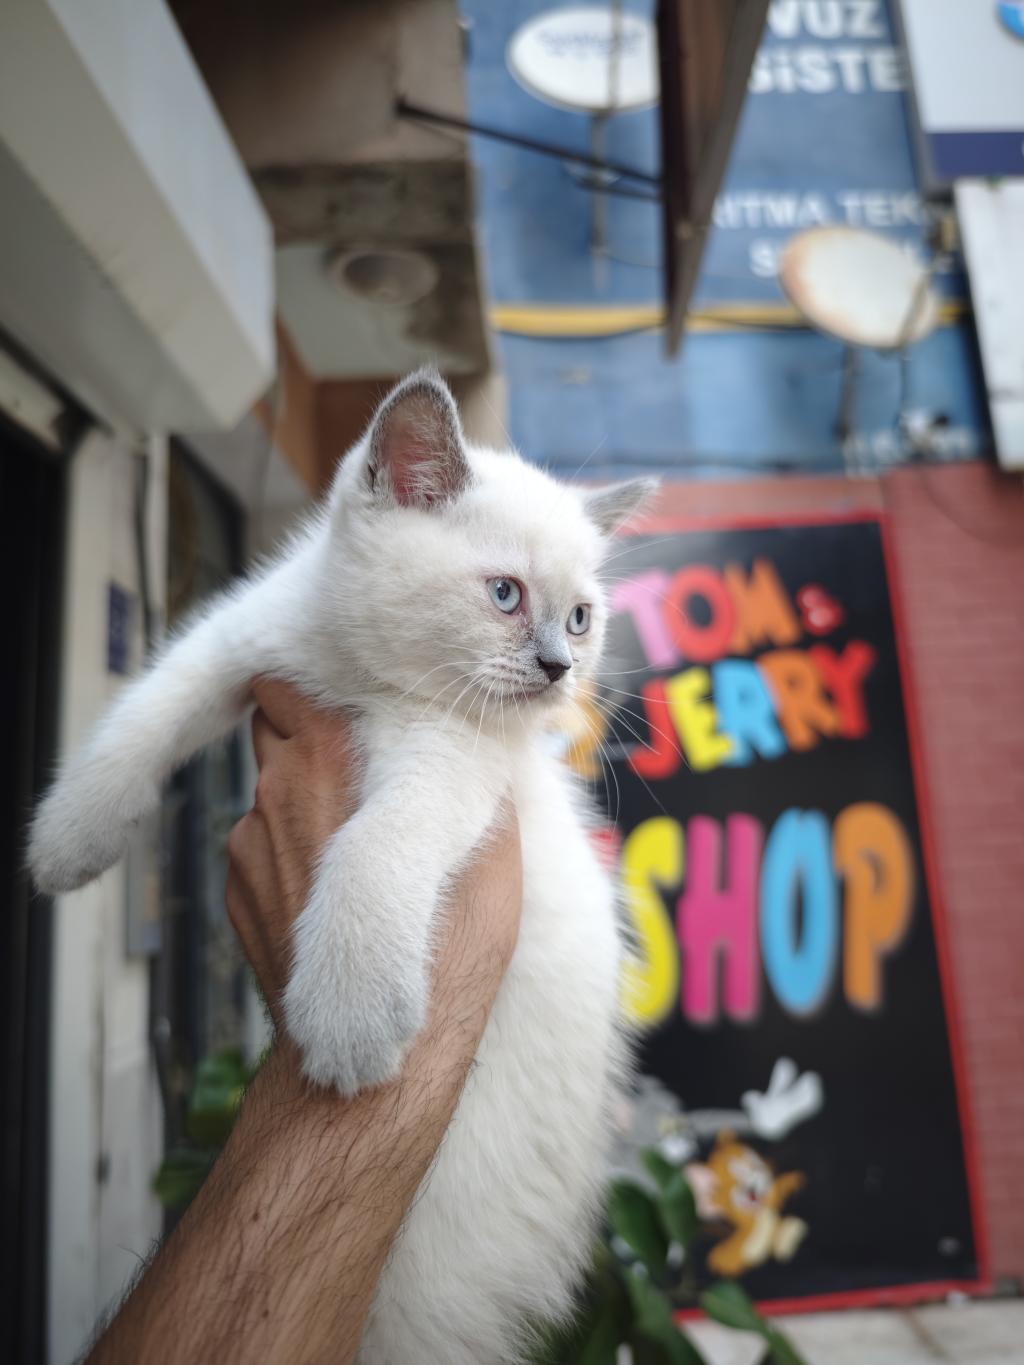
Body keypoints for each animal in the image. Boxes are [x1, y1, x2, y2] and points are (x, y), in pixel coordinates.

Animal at [29, 369, 655, 1364]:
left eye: (582, 617)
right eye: (506, 594)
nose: (560, 666)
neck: (367, 680)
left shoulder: (453, 768)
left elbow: (372, 842)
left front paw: (350, 1016)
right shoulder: (241, 638)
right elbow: (146, 709)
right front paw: (64, 842)